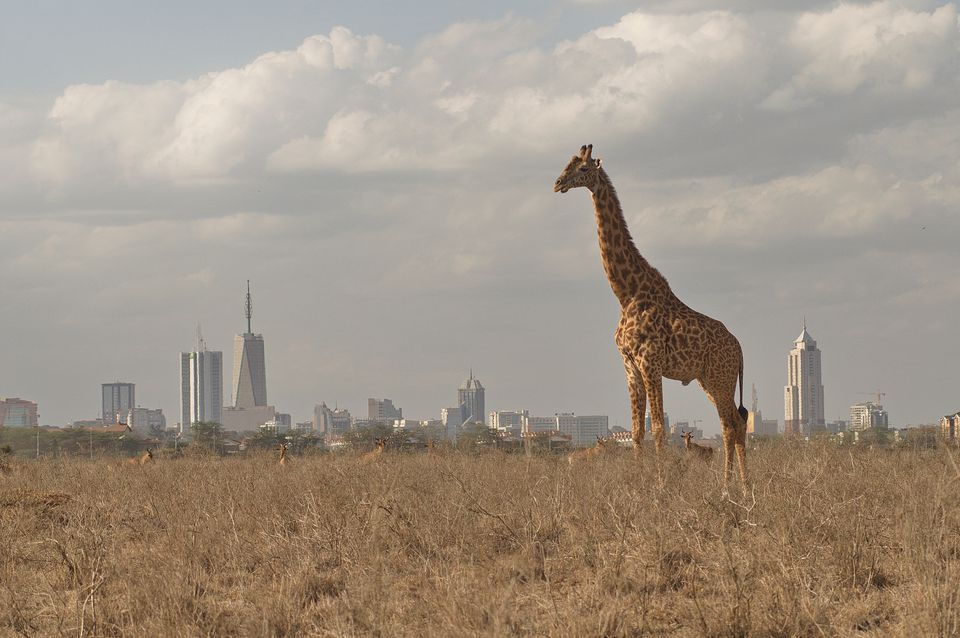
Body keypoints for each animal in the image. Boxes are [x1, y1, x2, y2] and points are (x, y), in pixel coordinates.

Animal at [556, 145, 752, 484]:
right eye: (567, 164)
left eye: (583, 169)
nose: (557, 183)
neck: (626, 294)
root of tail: (739, 349)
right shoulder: (630, 366)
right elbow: (637, 432)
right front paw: (641, 483)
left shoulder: (650, 362)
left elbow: (658, 429)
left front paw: (661, 485)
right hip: (709, 380)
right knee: (735, 424)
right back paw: (742, 485)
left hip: (720, 377)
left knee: (730, 426)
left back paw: (730, 487)